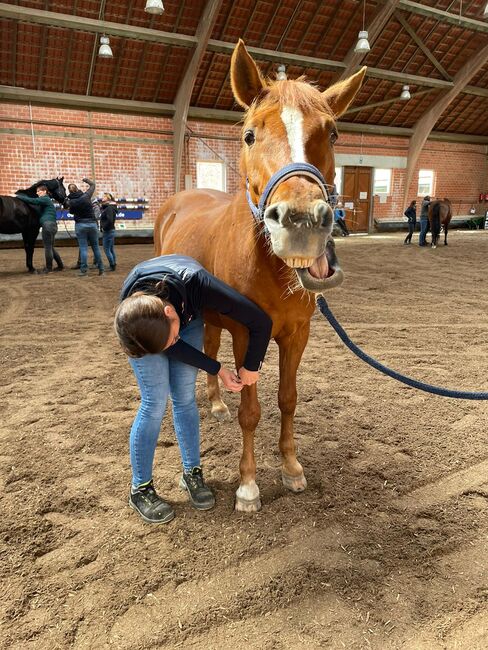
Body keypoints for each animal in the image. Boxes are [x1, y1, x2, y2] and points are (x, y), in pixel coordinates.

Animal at [154, 43, 364, 512]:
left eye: (333, 134)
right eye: (249, 135)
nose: (301, 220)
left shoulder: (296, 334)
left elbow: (288, 400)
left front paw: (291, 468)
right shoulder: (246, 334)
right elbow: (250, 411)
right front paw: (248, 486)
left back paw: (216, 403)